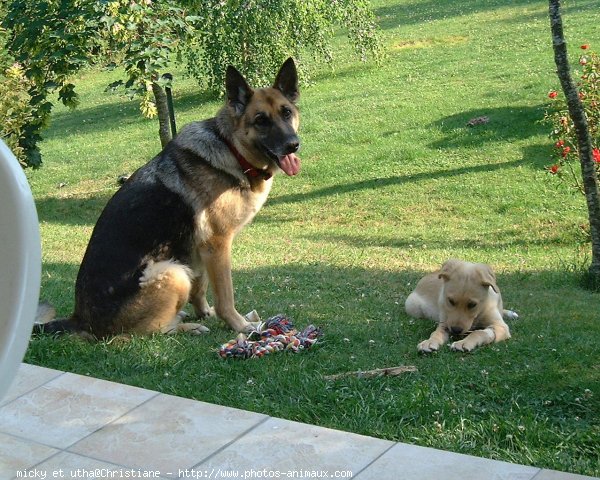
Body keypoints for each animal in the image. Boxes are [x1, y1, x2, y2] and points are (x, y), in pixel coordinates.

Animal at [35, 58, 302, 340]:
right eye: (261, 120)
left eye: (286, 113)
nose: (292, 145)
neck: (231, 148)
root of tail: (80, 320)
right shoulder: (217, 245)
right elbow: (225, 296)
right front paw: (239, 325)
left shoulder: (199, 249)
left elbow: (200, 287)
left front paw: (204, 311)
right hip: (172, 272)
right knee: (148, 333)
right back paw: (186, 326)